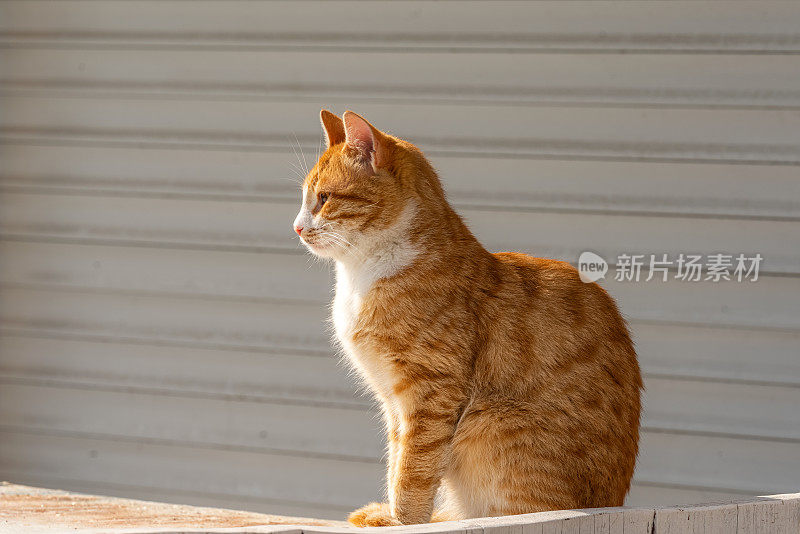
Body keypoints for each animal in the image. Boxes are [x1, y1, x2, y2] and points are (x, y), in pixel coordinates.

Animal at [294, 110, 644, 528]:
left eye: (324, 198)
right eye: (305, 199)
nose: (297, 227)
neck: (361, 275)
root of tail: (612, 504)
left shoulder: (431, 392)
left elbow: (413, 470)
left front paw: (403, 521)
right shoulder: (393, 403)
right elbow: (397, 460)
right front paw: (392, 513)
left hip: (489, 419)